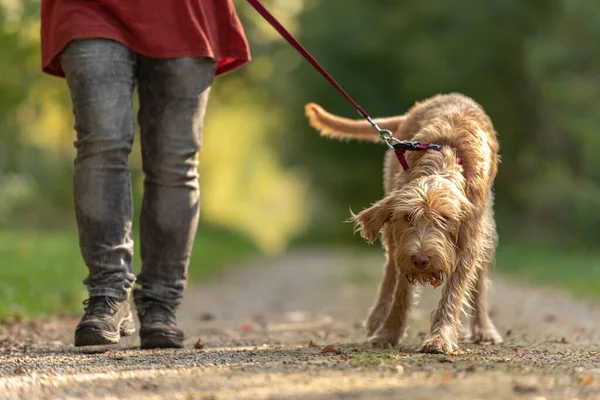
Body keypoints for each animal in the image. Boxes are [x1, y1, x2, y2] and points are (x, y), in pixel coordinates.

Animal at [304, 93, 502, 354]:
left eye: (445, 219)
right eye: (408, 217)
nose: (420, 259)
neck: (444, 159)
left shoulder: (469, 238)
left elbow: (454, 290)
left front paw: (440, 337)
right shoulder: (403, 240)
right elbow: (402, 290)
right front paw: (389, 331)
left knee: (478, 281)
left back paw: (484, 329)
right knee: (390, 270)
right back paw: (377, 318)